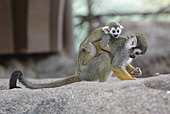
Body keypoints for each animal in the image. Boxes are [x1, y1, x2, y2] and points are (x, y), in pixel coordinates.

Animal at [8, 33, 147, 89]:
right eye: (136, 53)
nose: (134, 57)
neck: (128, 46)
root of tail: (79, 73)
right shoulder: (123, 50)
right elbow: (116, 66)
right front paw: (131, 79)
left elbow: (121, 64)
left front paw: (136, 72)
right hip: (88, 71)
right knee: (105, 57)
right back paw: (103, 82)